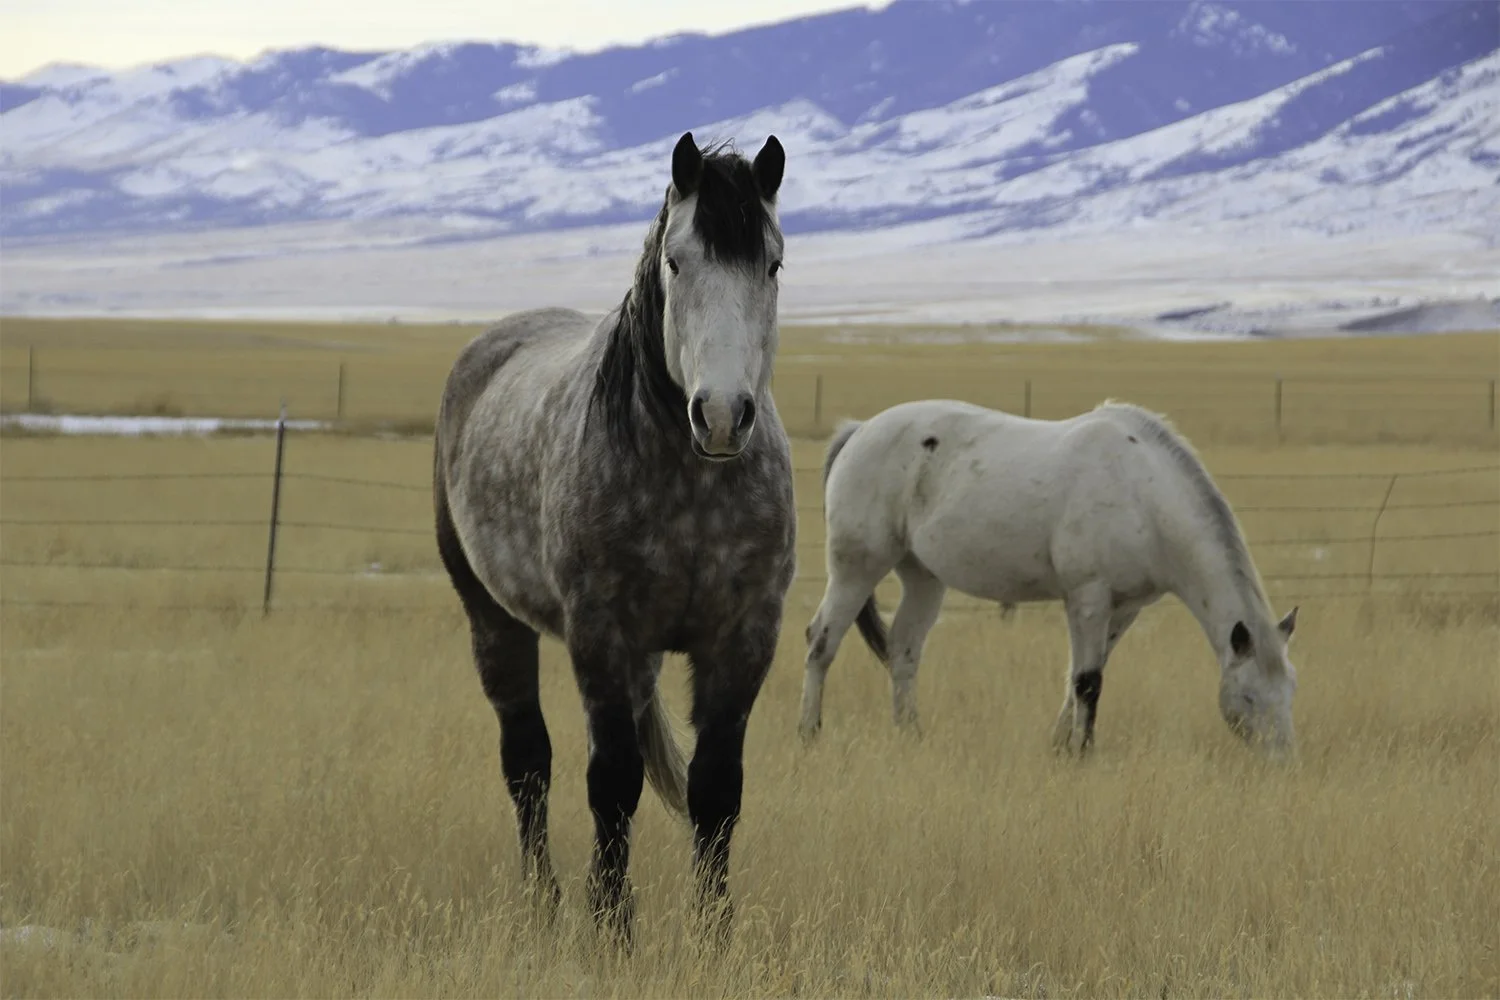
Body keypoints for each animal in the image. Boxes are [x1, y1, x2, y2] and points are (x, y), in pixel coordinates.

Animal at [433, 132, 796, 944]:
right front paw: (610, 927)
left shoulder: (745, 636)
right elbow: (613, 783)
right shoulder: (603, 633)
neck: (691, 485)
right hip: (491, 618)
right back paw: (544, 902)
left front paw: (714, 932)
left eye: (773, 263)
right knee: (528, 764)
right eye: (676, 260)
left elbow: (717, 790)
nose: (721, 416)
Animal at [797, 399, 1300, 757]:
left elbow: (1084, 674)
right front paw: (1082, 753)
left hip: (923, 577)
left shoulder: (1125, 608)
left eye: (1291, 689)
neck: (1143, 494)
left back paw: (910, 735)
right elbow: (1088, 681)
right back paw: (809, 734)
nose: (1282, 761)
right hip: (856, 568)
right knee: (822, 641)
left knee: (903, 650)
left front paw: (1060, 746)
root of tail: (860, 430)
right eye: (1249, 697)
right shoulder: (1088, 597)